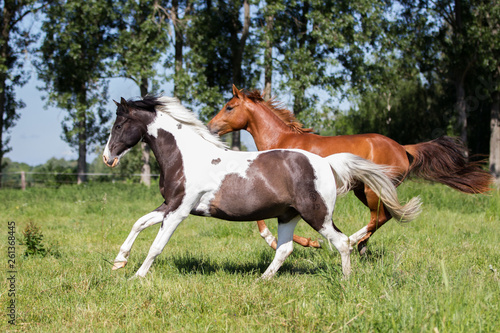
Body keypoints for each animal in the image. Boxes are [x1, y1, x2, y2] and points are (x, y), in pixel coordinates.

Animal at [101, 95, 422, 278]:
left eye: (119, 125)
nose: (107, 158)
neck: (185, 156)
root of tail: (327, 163)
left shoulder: (179, 211)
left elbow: (157, 245)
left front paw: (137, 277)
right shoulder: (170, 205)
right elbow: (139, 223)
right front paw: (119, 262)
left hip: (316, 215)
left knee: (342, 241)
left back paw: (346, 280)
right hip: (288, 215)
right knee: (285, 249)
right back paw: (262, 280)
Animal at [207, 84, 492, 253]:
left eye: (229, 107)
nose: (210, 127)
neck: (283, 141)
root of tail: (402, 147)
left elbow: (263, 224)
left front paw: (309, 243)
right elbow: (261, 222)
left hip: (372, 191)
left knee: (378, 218)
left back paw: (351, 243)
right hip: (364, 191)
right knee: (382, 218)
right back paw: (359, 246)